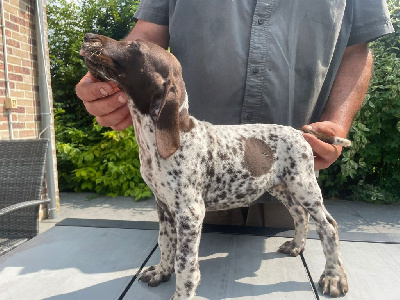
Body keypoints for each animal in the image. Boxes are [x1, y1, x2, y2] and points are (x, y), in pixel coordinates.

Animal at [82, 34, 350, 298]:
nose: (87, 36)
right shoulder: (164, 206)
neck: (159, 140)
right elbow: (165, 243)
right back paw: (296, 246)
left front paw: (182, 294)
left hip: (304, 186)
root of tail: (299, 132)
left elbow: (185, 264)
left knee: (328, 226)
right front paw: (161, 272)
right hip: (281, 187)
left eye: (132, 45)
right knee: (300, 215)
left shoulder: (190, 213)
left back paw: (334, 277)